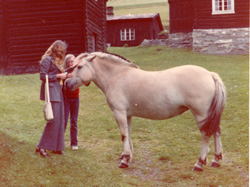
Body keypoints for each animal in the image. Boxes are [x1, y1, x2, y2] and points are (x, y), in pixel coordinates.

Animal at [64, 51, 227, 172]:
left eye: (79, 67)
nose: (66, 83)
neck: (117, 76)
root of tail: (210, 74)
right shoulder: (127, 115)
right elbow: (128, 134)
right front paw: (127, 156)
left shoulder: (119, 112)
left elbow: (123, 135)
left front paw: (124, 160)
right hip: (210, 115)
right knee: (217, 131)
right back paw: (216, 160)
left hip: (201, 115)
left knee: (206, 135)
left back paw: (199, 163)